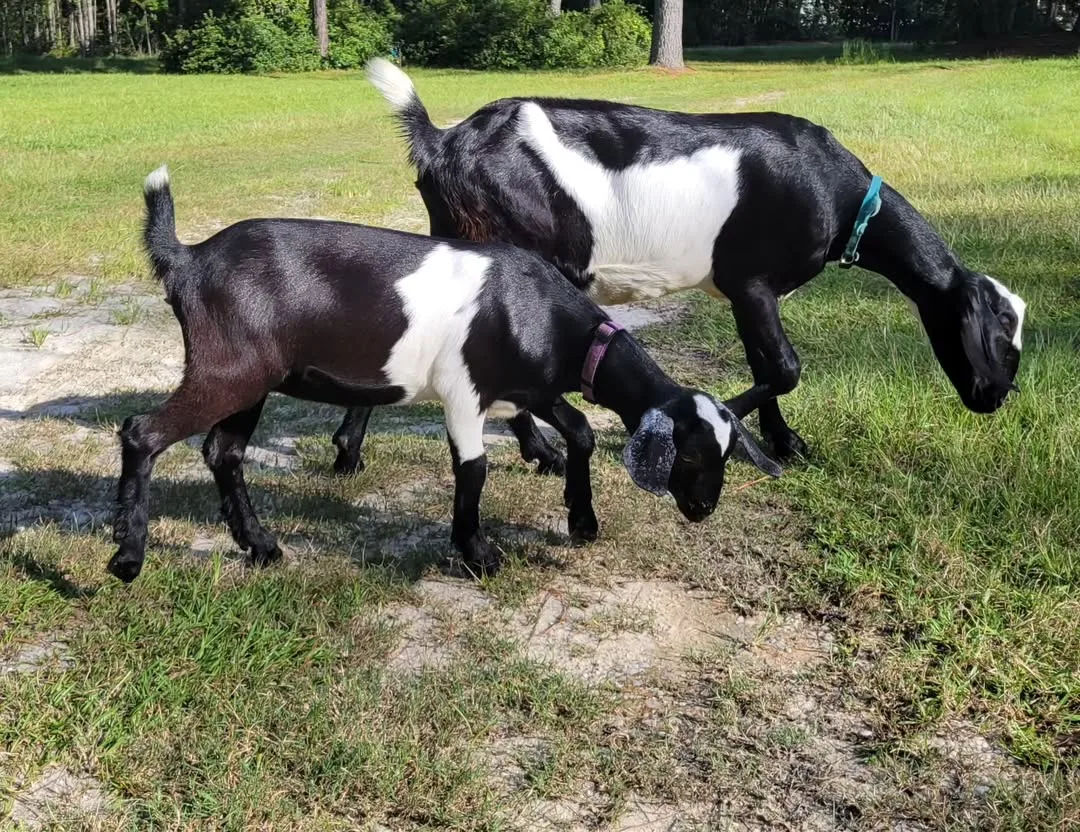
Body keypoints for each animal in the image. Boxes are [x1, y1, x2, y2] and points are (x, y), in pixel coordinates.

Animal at [108, 167, 781, 583]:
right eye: (691, 455)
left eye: (726, 453)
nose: (703, 509)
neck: (542, 315)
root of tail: (189, 260)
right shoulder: (465, 391)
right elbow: (473, 468)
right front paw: (478, 553)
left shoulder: (528, 389)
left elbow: (581, 431)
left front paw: (581, 520)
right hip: (228, 369)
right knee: (142, 432)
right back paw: (127, 557)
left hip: (252, 379)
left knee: (222, 453)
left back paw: (262, 546)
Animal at [322, 58, 1026, 478]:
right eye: (1002, 339)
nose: (993, 397)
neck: (841, 194)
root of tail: (443, 140)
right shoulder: (753, 282)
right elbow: (784, 368)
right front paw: (735, 433)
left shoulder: (748, 290)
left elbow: (766, 365)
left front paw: (786, 444)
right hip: (511, 241)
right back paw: (542, 452)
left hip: (452, 236)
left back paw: (350, 451)